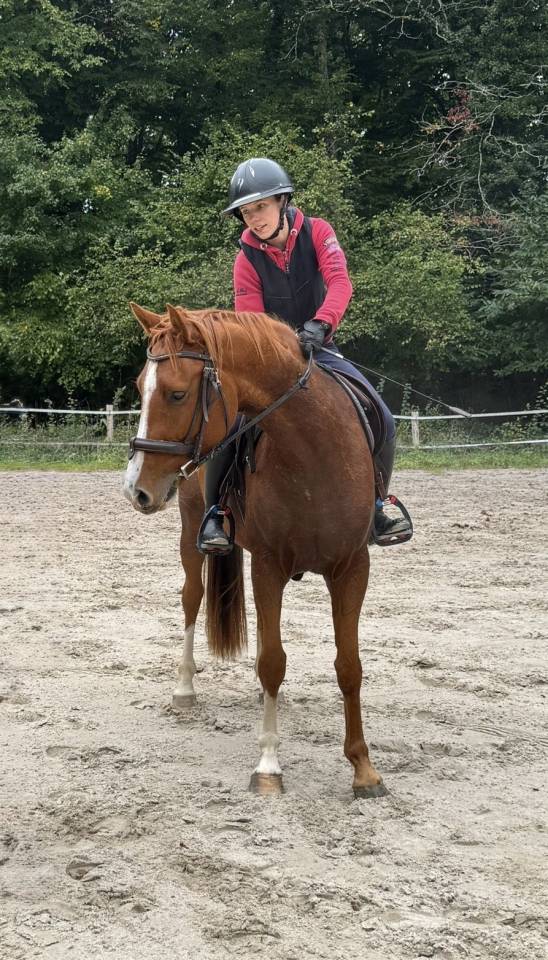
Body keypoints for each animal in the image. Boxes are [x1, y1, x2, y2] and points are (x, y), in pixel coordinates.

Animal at [123, 302, 388, 799]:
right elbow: (272, 662)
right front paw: (269, 765)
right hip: (191, 532)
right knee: (192, 599)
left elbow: (349, 665)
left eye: (175, 394)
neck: (314, 451)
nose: (135, 489)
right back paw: (184, 689)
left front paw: (364, 769)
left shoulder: (351, 568)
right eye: (138, 387)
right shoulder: (269, 566)